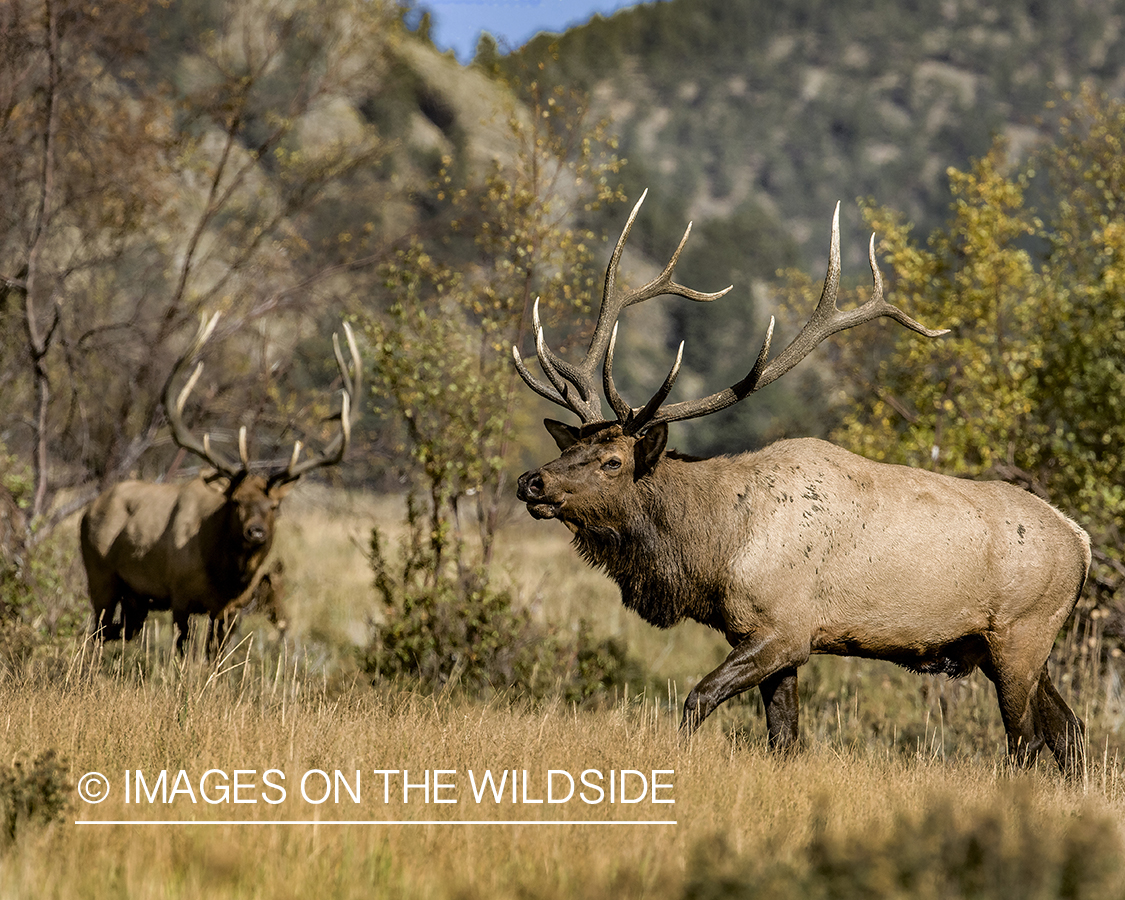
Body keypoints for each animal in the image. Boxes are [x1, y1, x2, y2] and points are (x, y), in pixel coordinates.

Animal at [82, 315, 362, 652]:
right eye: (236, 501)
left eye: (275, 506)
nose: (256, 531)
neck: (223, 578)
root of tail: (89, 510)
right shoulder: (180, 595)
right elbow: (182, 650)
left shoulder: (231, 610)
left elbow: (216, 654)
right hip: (100, 576)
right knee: (96, 630)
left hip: (135, 600)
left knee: (115, 630)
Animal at [513, 193, 1089, 778]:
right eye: (571, 447)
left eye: (612, 461)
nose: (531, 482)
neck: (716, 548)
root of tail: (1081, 539)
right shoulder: (764, 636)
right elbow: (784, 737)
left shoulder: (785, 630)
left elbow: (697, 699)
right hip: (1017, 648)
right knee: (1070, 729)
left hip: (1021, 634)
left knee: (1027, 742)